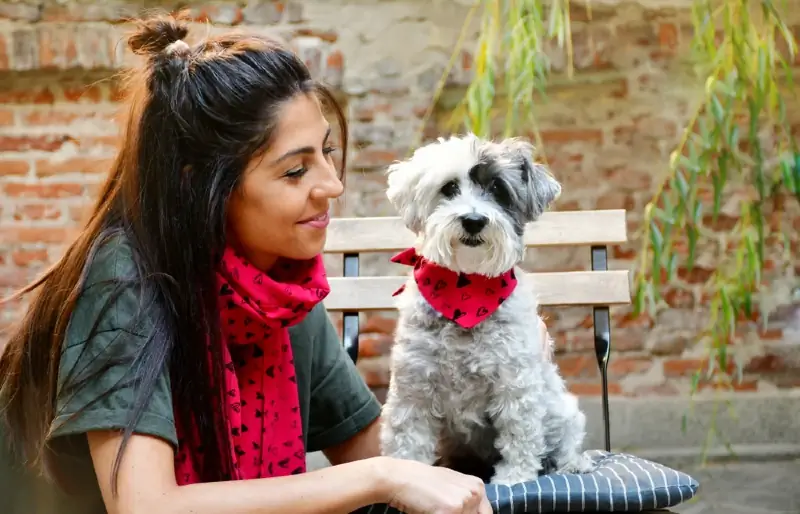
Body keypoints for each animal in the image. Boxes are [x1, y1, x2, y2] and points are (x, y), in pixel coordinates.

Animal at [380, 133, 592, 484]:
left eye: (497, 188)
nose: (474, 220)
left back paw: (574, 463)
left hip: (561, 410)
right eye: (449, 188)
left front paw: (514, 477)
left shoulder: (514, 382)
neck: (466, 290)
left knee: (567, 440)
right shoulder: (415, 384)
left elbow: (519, 432)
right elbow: (407, 436)